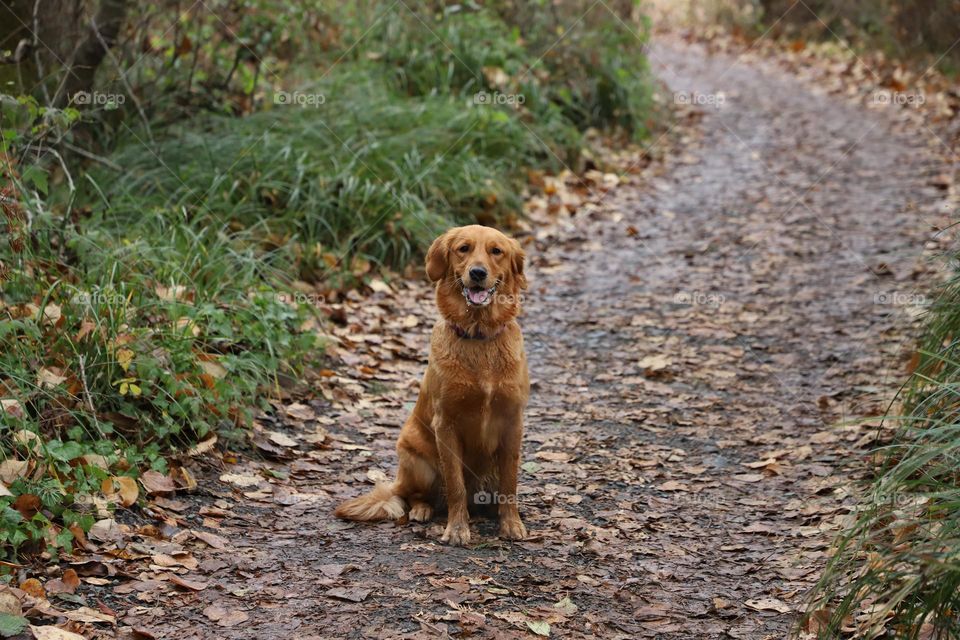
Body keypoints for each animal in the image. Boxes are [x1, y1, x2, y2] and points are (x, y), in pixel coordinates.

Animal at [336, 225, 532, 544]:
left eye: (496, 251)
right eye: (463, 249)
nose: (477, 272)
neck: (478, 335)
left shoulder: (512, 422)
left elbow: (509, 483)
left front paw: (511, 524)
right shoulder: (446, 424)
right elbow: (455, 485)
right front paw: (457, 529)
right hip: (418, 462)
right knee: (413, 496)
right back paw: (422, 510)